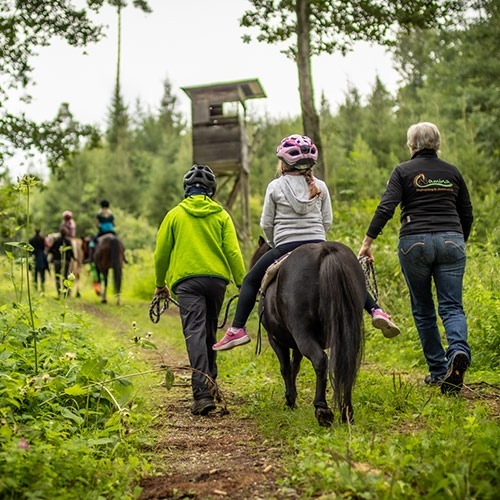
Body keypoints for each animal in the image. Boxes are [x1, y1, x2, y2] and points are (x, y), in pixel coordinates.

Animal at [254, 237, 368, 426]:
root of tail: (326, 252)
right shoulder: (295, 344)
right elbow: (295, 366)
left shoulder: (276, 339)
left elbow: (286, 367)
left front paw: (290, 399)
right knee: (347, 365)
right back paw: (347, 412)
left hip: (303, 333)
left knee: (320, 360)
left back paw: (322, 409)